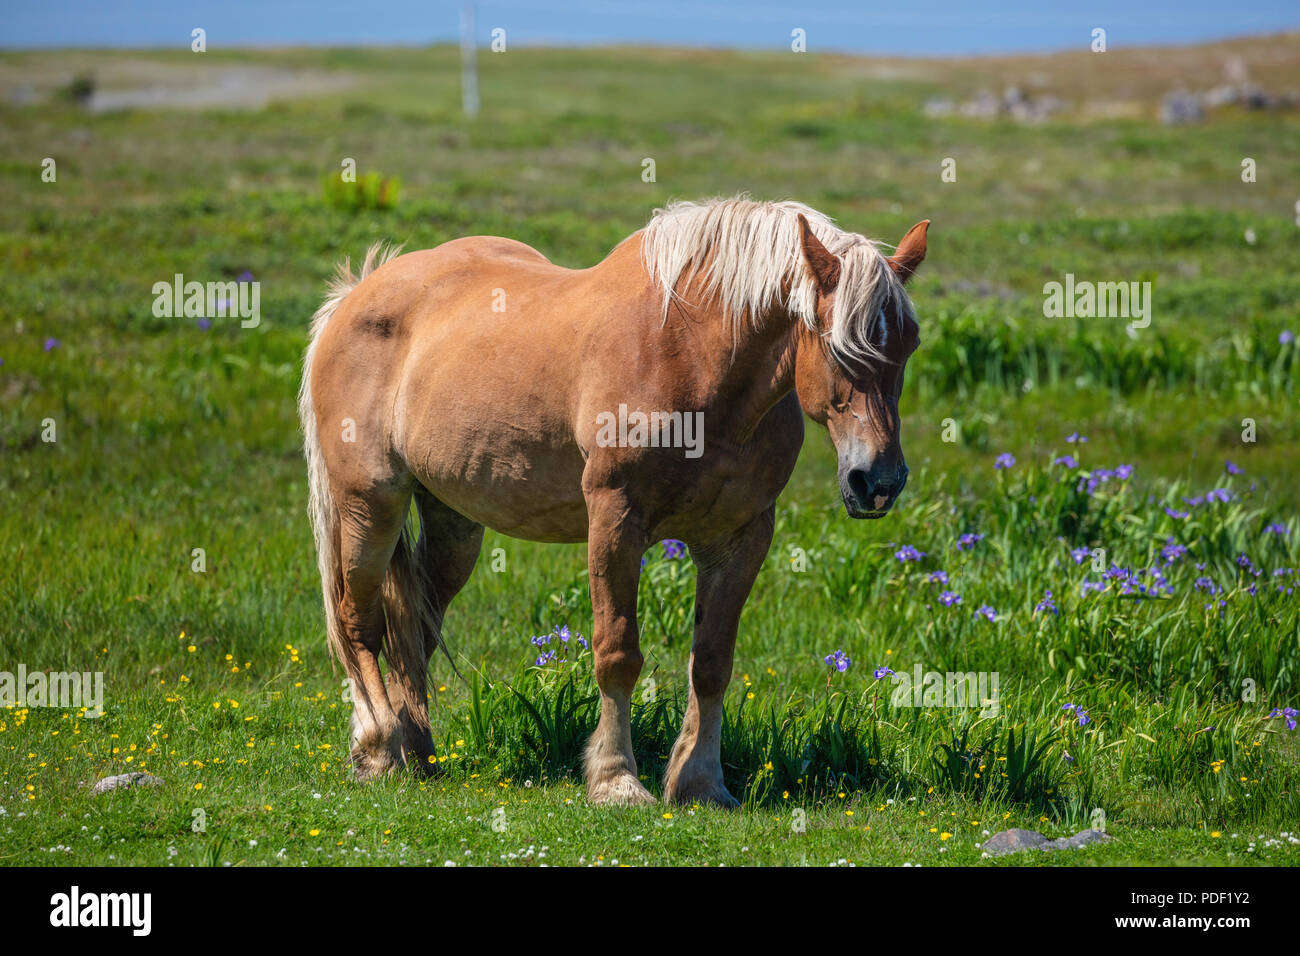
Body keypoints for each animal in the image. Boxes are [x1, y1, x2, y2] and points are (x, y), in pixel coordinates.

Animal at [299, 196, 930, 806]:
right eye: (839, 345)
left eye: (910, 344)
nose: (878, 480)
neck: (692, 358)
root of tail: (357, 292)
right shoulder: (615, 519)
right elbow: (618, 653)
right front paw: (616, 780)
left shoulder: (740, 535)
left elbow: (713, 662)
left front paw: (701, 782)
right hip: (369, 503)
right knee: (359, 621)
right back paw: (378, 751)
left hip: (453, 522)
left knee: (416, 625)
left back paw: (419, 755)